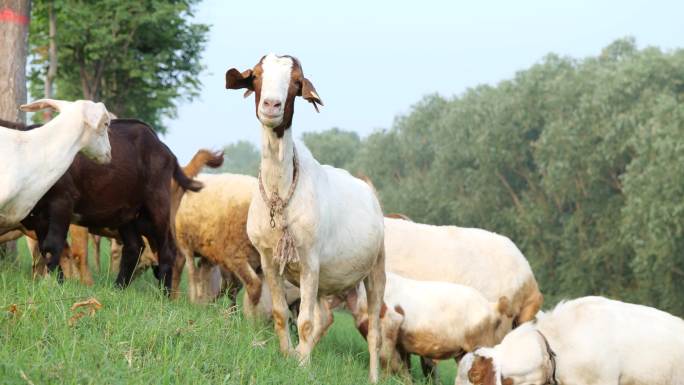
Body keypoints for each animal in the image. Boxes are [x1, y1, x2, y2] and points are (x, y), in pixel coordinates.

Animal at [20, 118, 202, 292]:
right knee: (134, 247)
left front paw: (52, 286)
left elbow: (53, 245)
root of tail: (165, 149)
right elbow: (45, 248)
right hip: (127, 214)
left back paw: (164, 295)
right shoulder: (39, 217)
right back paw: (117, 289)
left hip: (158, 205)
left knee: (167, 250)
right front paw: (56, 283)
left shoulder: (62, 203)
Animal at [224, 53, 384, 380]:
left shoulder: (310, 258)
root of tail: (367, 187)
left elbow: (305, 322)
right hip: (326, 278)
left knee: (374, 331)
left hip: (376, 268)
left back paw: (373, 377)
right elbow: (280, 313)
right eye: (256, 76)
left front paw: (300, 366)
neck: (281, 192)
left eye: (296, 83)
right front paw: (288, 356)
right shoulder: (267, 258)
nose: (271, 105)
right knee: (325, 317)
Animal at [348, 272, 512, 380]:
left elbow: (385, 357)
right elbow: (404, 366)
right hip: (462, 353)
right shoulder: (401, 343)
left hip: (482, 344)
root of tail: (493, 306)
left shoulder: (392, 319)